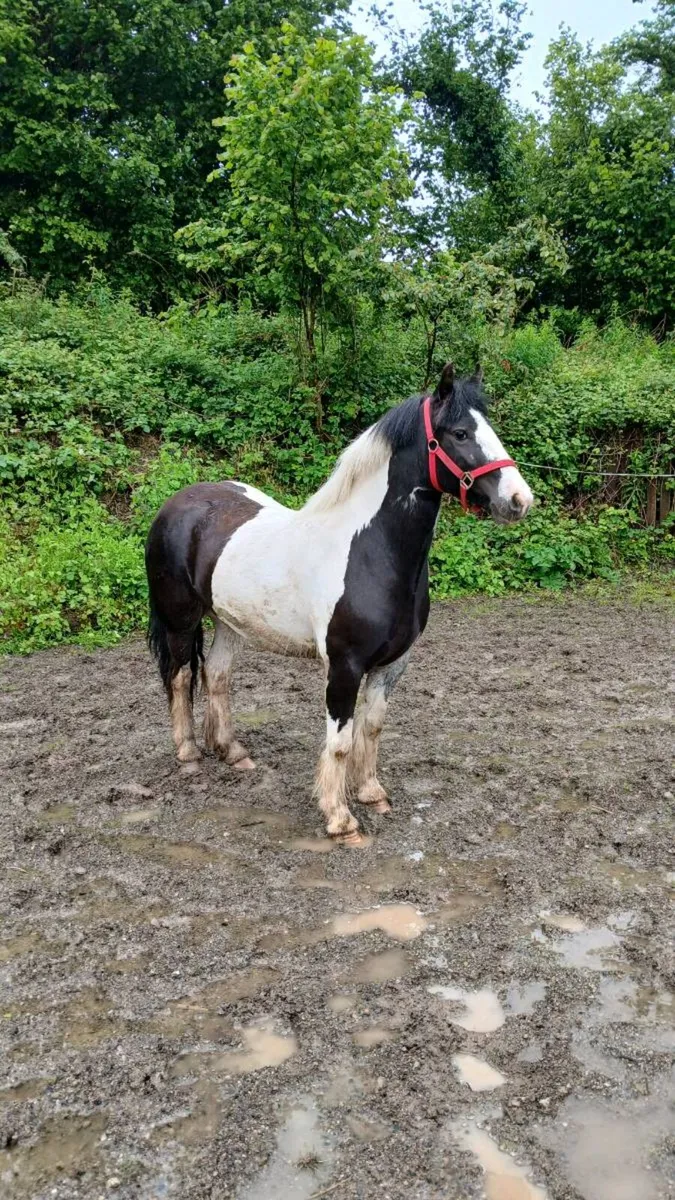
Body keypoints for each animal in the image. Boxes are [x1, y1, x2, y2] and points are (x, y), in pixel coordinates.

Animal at [145, 363, 533, 846]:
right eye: (460, 433)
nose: (519, 501)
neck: (370, 552)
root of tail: (176, 504)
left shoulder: (393, 664)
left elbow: (372, 727)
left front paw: (370, 793)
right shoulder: (344, 666)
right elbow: (341, 740)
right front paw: (339, 818)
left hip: (230, 623)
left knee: (217, 676)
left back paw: (232, 752)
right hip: (179, 621)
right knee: (180, 678)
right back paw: (188, 753)